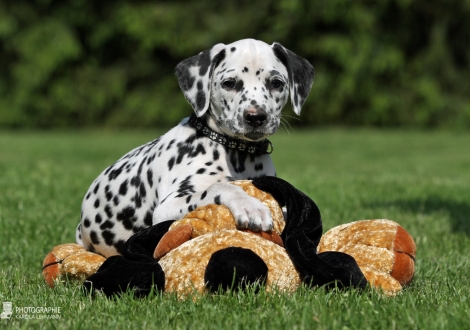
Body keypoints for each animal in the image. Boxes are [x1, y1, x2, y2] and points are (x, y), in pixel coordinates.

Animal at [76, 37, 312, 256]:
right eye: (229, 83)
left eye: (276, 83)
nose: (256, 117)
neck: (236, 152)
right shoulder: (166, 207)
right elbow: (219, 187)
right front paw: (249, 205)